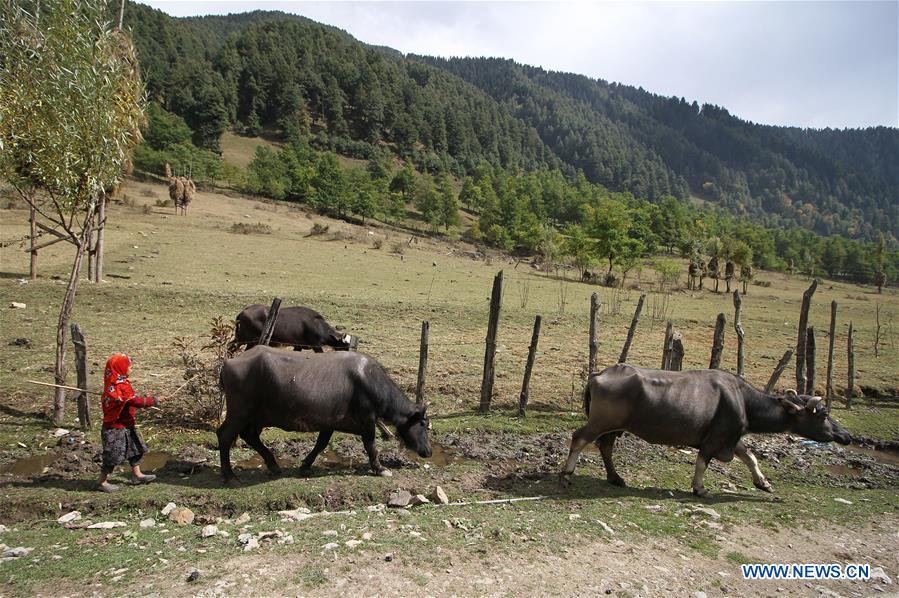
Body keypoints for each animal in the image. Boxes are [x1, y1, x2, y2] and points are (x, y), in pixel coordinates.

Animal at [216, 346, 430, 482]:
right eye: (423, 425)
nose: (428, 451)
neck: (369, 381)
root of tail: (227, 363)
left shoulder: (329, 423)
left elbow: (321, 444)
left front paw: (305, 465)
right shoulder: (368, 420)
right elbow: (371, 446)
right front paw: (380, 468)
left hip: (256, 417)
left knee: (249, 436)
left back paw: (273, 465)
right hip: (239, 413)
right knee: (225, 435)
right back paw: (230, 475)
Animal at [564, 366, 852, 496]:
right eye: (824, 414)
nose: (847, 436)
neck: (743, 400)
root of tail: (599, 374)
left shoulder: (732, 437)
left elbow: (750, 457)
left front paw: (763, 482)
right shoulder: (717, 439)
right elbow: (703, 460)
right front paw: (700, 488)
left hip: (615, 427)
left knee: (605, 446)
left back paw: (615, 478)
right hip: (601, 422)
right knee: (580, 438)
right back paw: (566, 474)